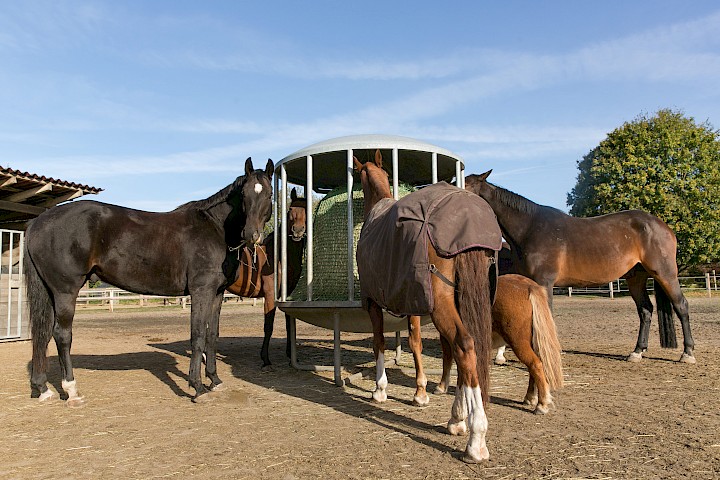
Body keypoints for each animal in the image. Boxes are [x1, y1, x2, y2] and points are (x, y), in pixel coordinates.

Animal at [24, 159, 272, 404]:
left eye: (269, 194)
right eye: (245, 194)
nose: (252, 235)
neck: (215, 228)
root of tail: (38, 221)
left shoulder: (218, 292)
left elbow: (212, 336)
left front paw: (215, 380)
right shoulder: (202, 291)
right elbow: (198, 334)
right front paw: (197, 387)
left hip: (50, 291)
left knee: (43, 333)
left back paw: (43, 388)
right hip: (65, 291)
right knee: (62, 334)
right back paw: (72, 390)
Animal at [228, 188, 306, 368]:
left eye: (306, 209)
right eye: (290, 209)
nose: (298, 231)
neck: (279, 256)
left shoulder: (287, 294)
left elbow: (289, 324)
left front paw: (291, 355)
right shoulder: (270, 295)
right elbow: (268, 325)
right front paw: (265, 359)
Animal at [354, 151, 500, 464]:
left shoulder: (373, 303)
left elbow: (379, 342)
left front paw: (380, 389)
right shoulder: (413, 301)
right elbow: (415, 342)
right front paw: (420, 393)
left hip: (442, 305)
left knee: (464, 346)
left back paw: (476, 439)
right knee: (466, 350)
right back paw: (456, 418)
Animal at [410, 276, 564, 414]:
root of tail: (528, 285)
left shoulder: (447, 336)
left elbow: (447, 359)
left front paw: (442, 386)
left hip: (519, 343)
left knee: (535, 365)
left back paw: (541, 405)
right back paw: (530, 397)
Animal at [464, 171, 696, 362]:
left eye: (465, 184)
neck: (530, 228)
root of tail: (663, 226)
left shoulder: (544, 283)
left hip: (665, 274)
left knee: (681, 305)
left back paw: (687, 353)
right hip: (636, 277)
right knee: (646, 310)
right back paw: (637, 352)